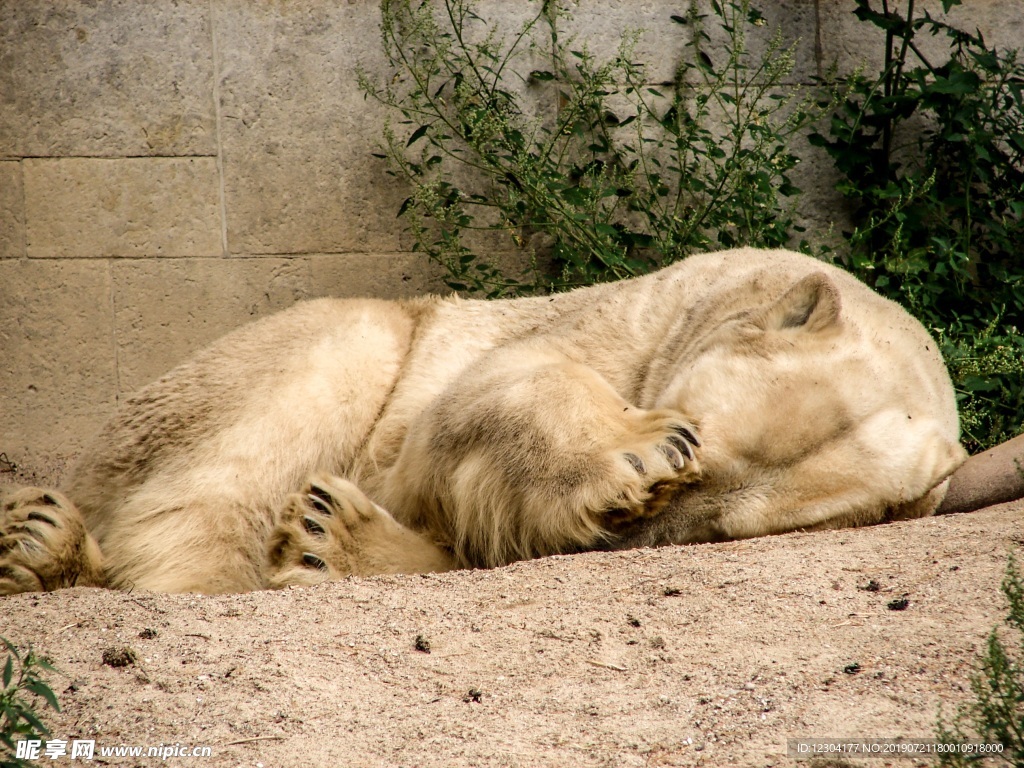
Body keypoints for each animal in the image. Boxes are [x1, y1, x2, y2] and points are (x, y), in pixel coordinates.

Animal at [0, 249, 962, 598]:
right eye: (697, 436)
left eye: (721, 530)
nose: (630, 530)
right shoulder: (623, 318)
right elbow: (487, 394)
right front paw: (630, 455)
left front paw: (331, 541)